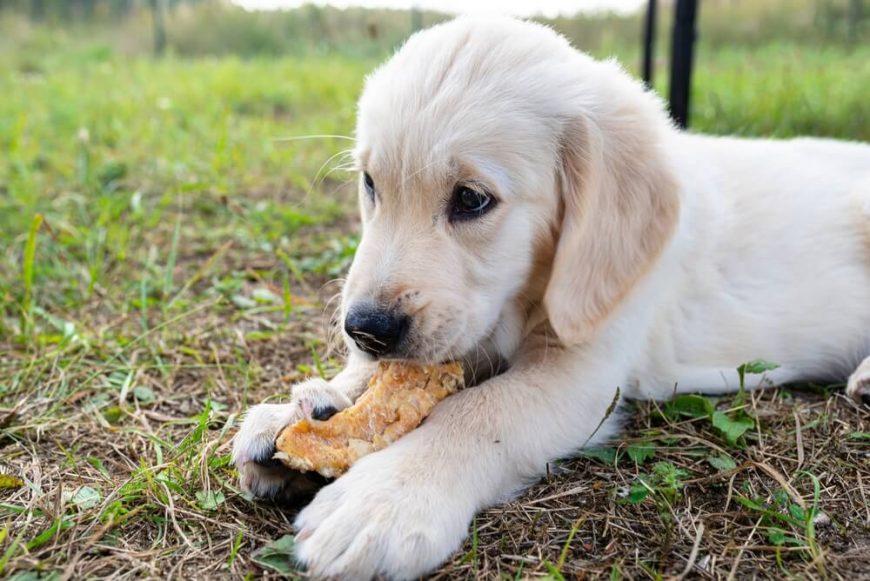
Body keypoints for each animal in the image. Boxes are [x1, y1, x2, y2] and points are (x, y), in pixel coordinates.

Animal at [233, 15, 870, 576]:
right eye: (370, 185)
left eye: (472, 199)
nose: (364, 328)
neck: (532, 293)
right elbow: (388, 379)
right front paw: (311, 405)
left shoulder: (584, 370)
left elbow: (480, 411)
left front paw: (387, 497)